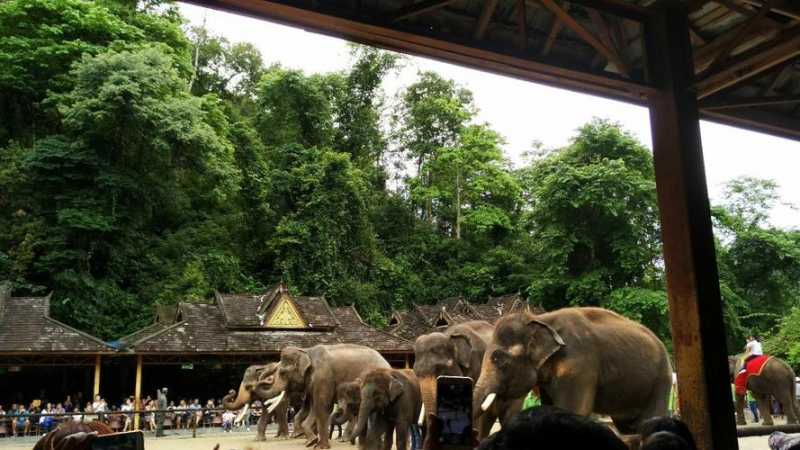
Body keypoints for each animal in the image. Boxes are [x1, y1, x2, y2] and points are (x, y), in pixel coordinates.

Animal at [250, 342, 388, 448]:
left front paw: (321, 446)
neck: (306, 350)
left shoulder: (323, 377)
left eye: (283, 373)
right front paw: (310, 442)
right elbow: (313, 408)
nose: (261, 372)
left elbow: (322, 406)